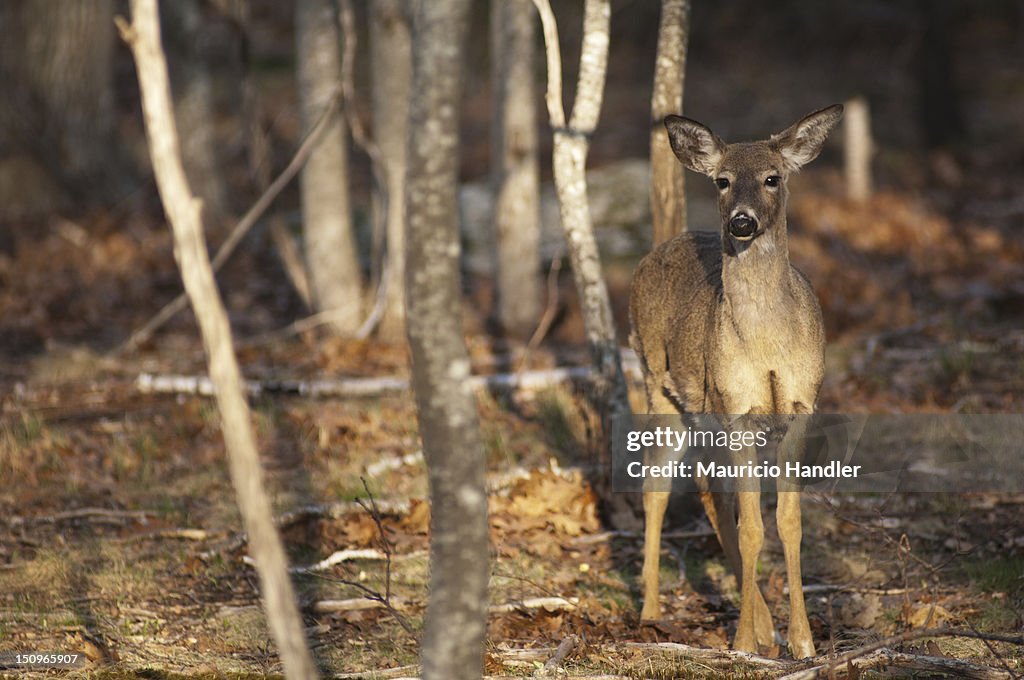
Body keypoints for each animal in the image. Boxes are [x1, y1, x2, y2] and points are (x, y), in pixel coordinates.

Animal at [626, 106, 843, 659]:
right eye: (722, 181)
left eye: (773, 178)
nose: (741, 221)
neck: (766, 344)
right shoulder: (737, 405)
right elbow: (752, 528)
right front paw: (743, 641)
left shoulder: (801, 402)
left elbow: (787, 523)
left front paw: (802, 642)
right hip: (659, 386)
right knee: (656, 487)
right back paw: (652, 611)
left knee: (710, 492)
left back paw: (768, 626)